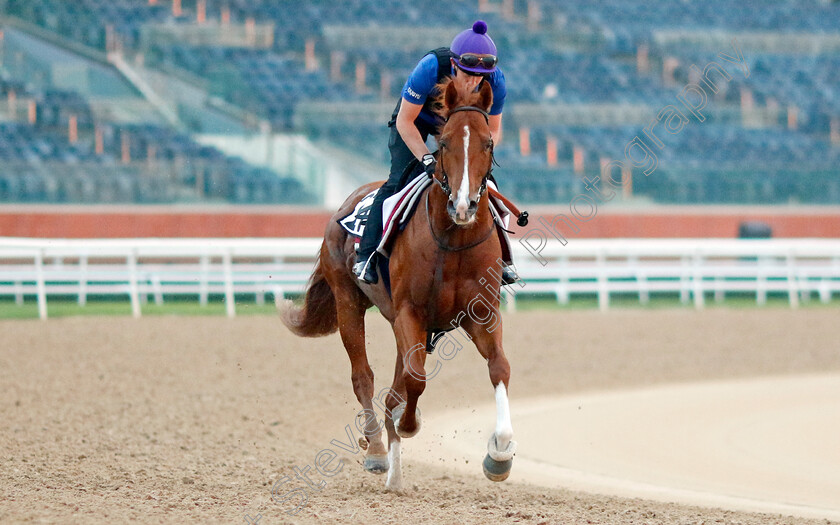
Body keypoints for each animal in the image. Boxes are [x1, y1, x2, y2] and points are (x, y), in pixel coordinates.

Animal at [282, 79, 516, 492]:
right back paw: (378, 451)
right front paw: (408, 425)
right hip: (349, 300)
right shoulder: (411, 312)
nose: (464, 205)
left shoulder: (483, 315)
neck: (452, 241)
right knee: (365, 377)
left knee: (396, 382)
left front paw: (499, 454)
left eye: (488, 143)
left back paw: (394, 467)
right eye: (444, 143)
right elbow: (415, 379)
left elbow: (498, 367)